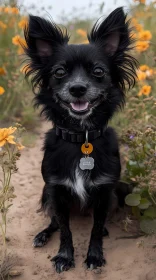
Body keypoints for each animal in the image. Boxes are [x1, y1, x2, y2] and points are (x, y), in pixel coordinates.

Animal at [23, 7, 137, 274]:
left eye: (98, 71)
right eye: (59, 72)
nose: (77, 88)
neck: (81, 137)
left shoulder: (105, 192)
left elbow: (95, 228)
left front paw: (94, 255)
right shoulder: (56, 191)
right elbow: (65, 229)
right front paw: (64, 256)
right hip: (45, 193)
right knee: (53, 222)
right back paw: (43, 235)